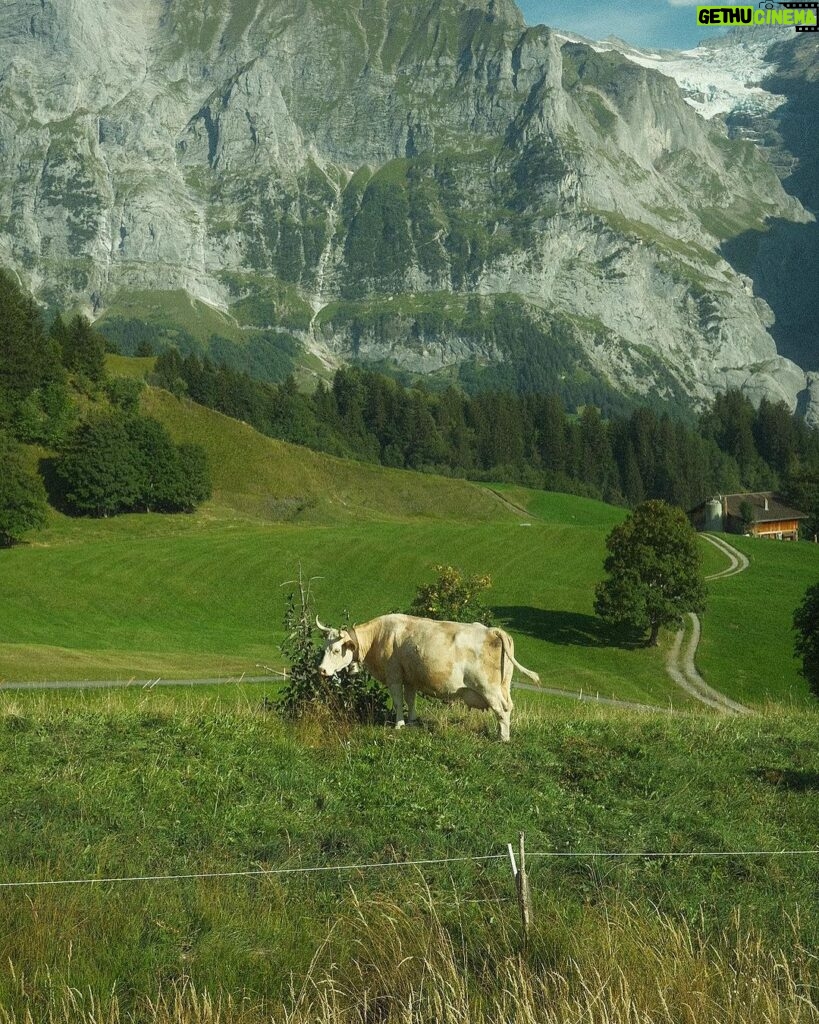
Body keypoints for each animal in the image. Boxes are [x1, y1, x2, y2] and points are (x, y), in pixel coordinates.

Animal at [317, 610, 540, 741]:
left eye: (336, 650)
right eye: (324, 647)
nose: (322, 670)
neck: (379, 636)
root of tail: (493, 631)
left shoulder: (394, 675)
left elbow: (398, 701)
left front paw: (399, 725)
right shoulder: (410, 678)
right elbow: (411, 700)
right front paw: (412, 721)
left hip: (489, 688)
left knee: (502, 710)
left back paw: (503, 738)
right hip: (503, 686)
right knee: (508, 707)